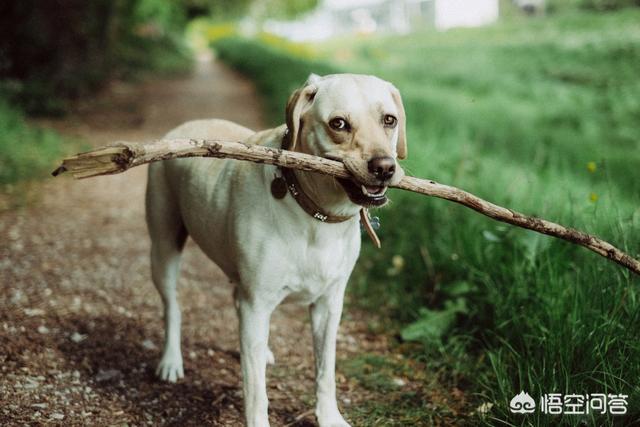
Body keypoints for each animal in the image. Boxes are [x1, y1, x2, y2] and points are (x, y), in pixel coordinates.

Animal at [145, 72, 404, 426]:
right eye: (338, 124)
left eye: (389, 120)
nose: (384, 167)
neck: (315, 215)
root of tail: (180, 128)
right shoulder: (257, 303)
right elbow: (256, 392)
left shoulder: (329, 304)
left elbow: (325, 371)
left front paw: (329, 416)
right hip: (164, 247)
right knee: (172, 306)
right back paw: (171, 361)